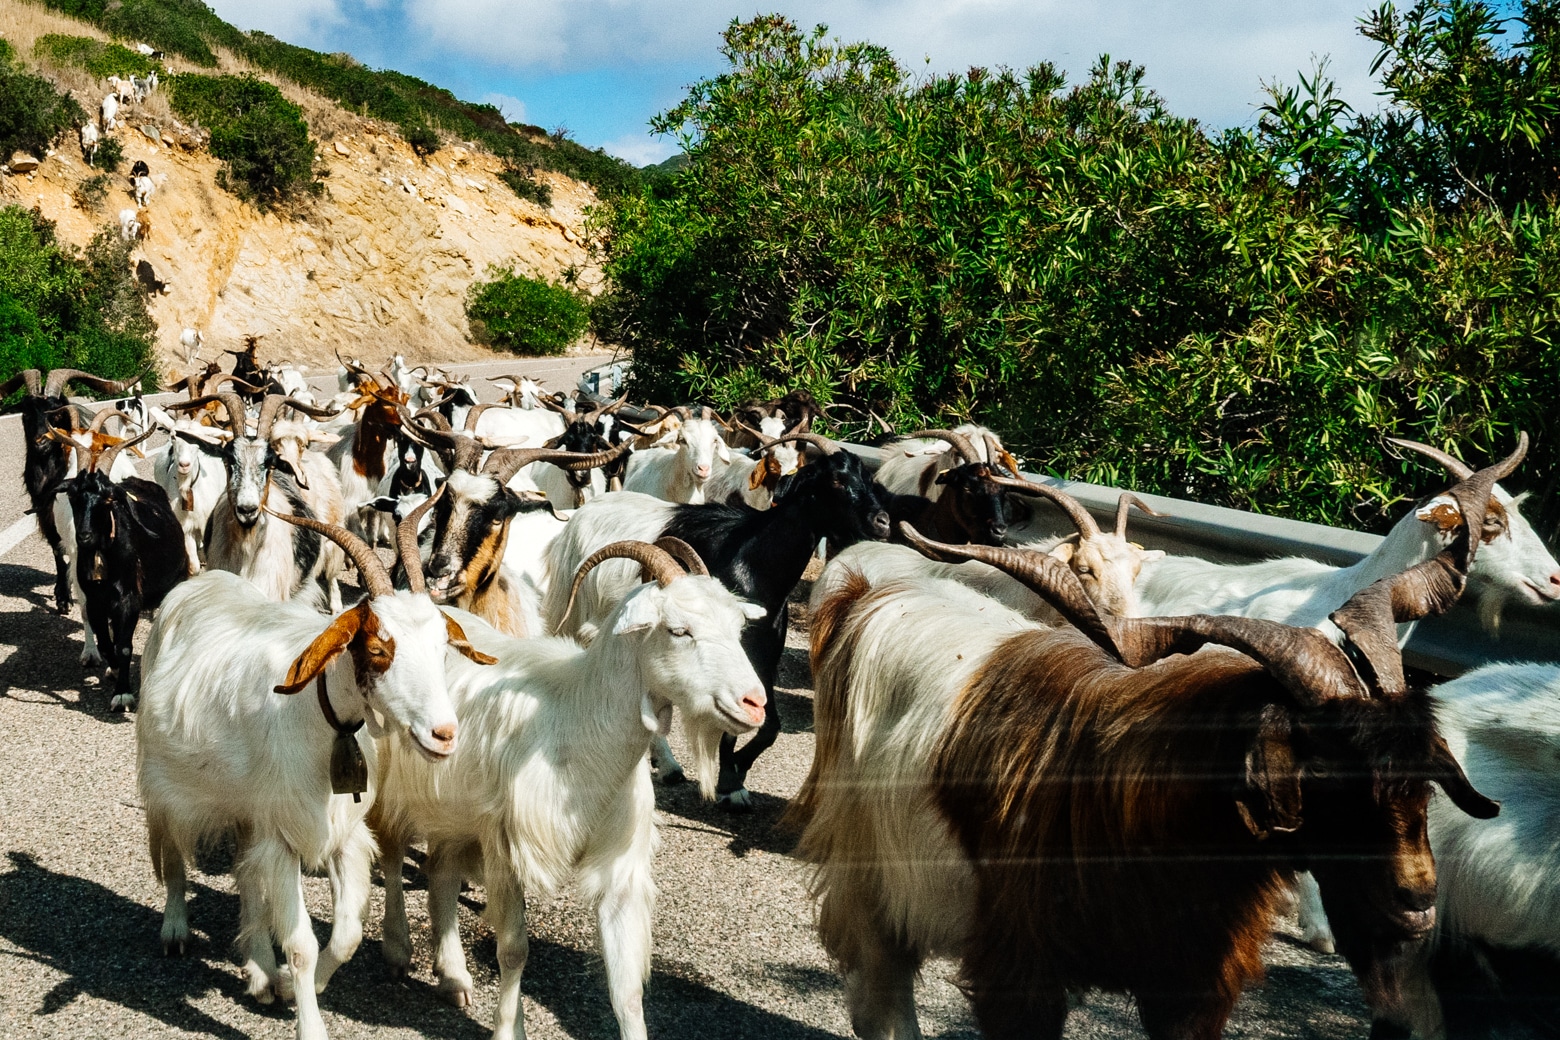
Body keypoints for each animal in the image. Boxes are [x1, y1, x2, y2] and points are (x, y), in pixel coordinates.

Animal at [1, 367, 140, 614]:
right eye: (26, 413)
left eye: (55, 414)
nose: (40, 442)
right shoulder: (46, 513)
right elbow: (58, 551)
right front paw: (62, 596)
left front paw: (65, 597)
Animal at [138, 520, 483, 1040]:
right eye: (378, 649)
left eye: (442, 648)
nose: (444, 735)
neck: (323, 722)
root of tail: (198, 584)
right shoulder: (283, 837)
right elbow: (302, 945)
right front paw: (308, 1020)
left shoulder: (339, 833)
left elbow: (347, 935)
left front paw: (290, 981)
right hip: (163, 779)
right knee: (173, 849)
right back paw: (176, 929)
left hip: (249, 808)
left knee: (244, 871)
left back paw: (259, 968)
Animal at [377, 542, 767, 1035]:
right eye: (679, 631)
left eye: (738, 628)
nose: (755, 704)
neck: (579, 724)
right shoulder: (507, 850)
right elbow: (514, 951)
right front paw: (508, 1029)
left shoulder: (618, 867)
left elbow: (626, 984)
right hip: (393, 789)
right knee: (392, 855)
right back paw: (397, 950)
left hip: (455, 811)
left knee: (442, 872)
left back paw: (453, 977)